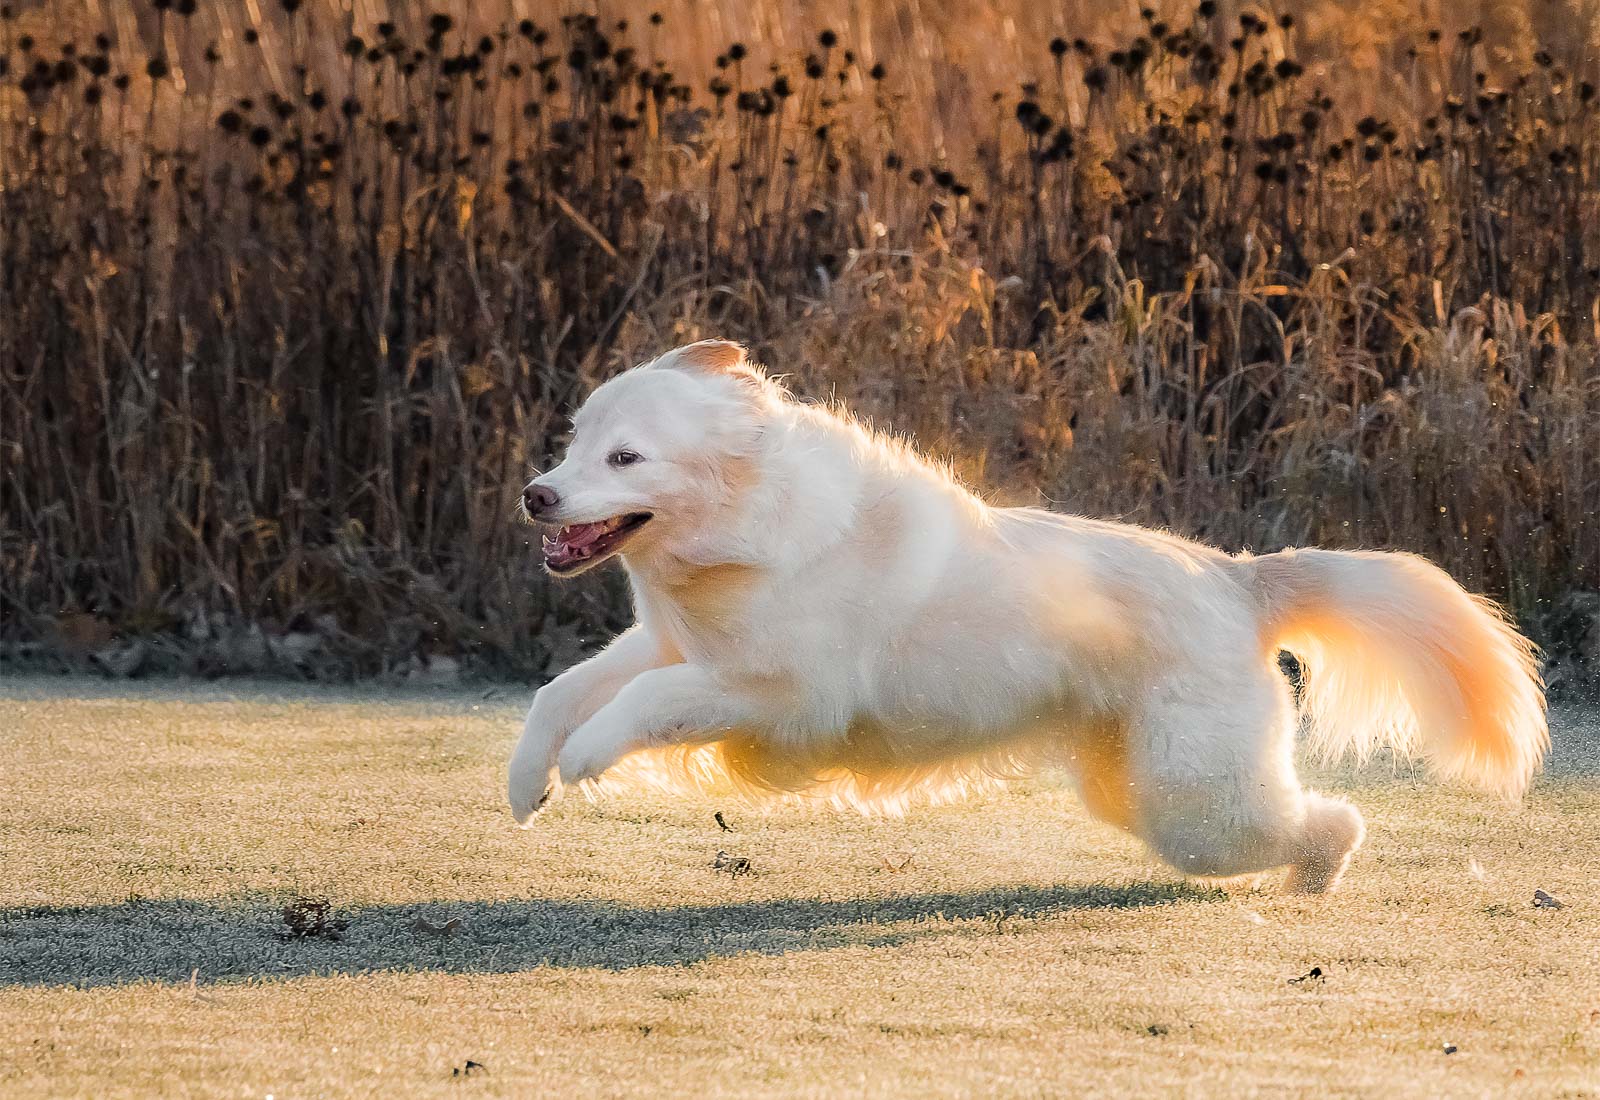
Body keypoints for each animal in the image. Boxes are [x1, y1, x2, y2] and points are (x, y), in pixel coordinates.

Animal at [505, 342, 1542, 895]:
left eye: (627, 458)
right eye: (574, 440)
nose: (535, 494)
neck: (749, 529)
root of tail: (1237, 579)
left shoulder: (780, 693)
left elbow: (642, 704)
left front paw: (588, 760)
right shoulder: (667, 642)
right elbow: (564, 690)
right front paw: (527, 785)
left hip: (1199, 807)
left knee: (1334, 821)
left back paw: (1313, 882)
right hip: (1144, 794)